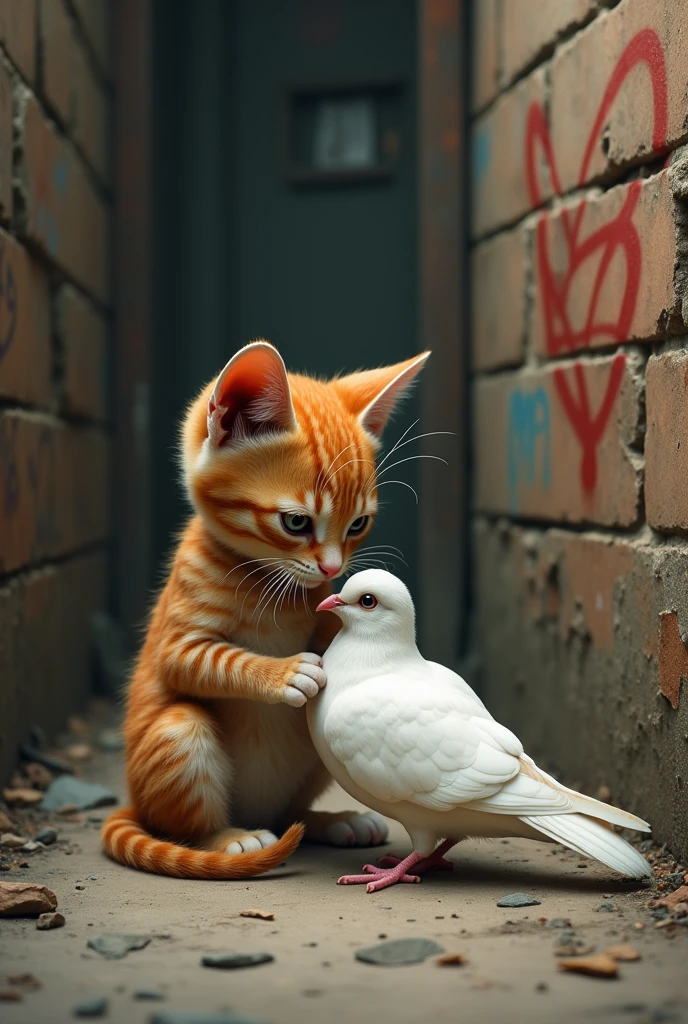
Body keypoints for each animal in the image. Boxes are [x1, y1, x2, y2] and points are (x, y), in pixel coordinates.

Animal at [102, 339, 427, 876]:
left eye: (358, 525)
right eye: (296, 523)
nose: (332, 566)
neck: (269, 584)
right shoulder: (176, 643)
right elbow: (214, 660)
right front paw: (285, 673)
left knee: (291, 810)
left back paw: (329, 821)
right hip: (176, 737)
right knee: (185, 814)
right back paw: (228, 837)